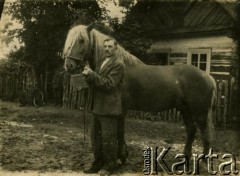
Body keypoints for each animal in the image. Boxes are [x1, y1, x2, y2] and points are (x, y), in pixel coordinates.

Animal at [62, 24, 216, 160]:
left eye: (81, 40)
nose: (68, 65)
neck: (122, 67)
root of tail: (207, 76)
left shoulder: (121, 110)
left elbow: (120, 131)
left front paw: (122, 155)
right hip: (185, 110)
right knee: (191, 130)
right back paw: (186, 155)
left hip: (200, 112)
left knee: (205, 134)